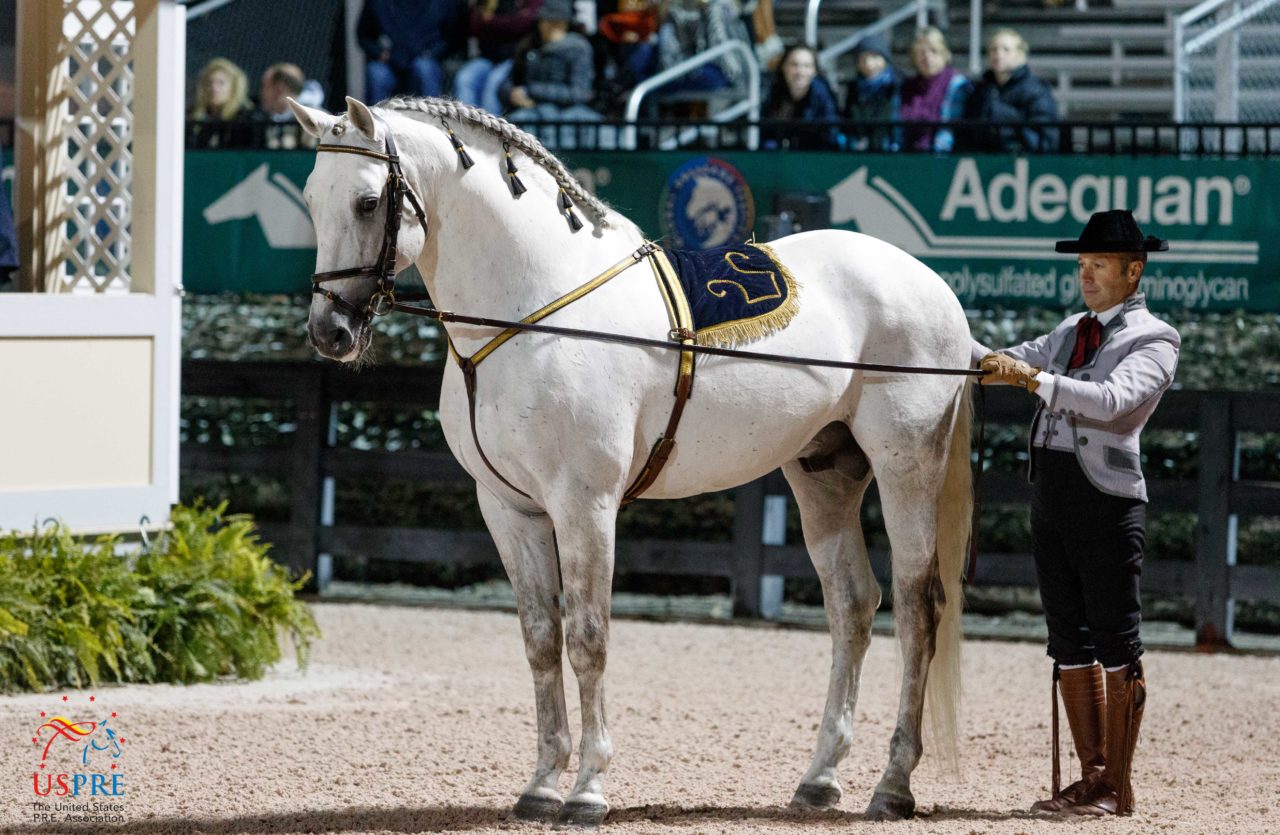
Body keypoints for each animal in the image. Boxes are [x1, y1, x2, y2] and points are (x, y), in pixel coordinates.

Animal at [288, 94, 967, 824]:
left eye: (365, 202)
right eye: (310, 197)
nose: (330, 332)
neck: (532, 309)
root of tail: (929, 283)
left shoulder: (585, 505)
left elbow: (588, 637)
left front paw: (587, 789)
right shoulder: (510, 510)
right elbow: (540, 638)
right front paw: (541, 785)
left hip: (906, 468)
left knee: (917, 607)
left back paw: (893, 784)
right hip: (824, 474)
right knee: (852, 606)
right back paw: (819, 778)